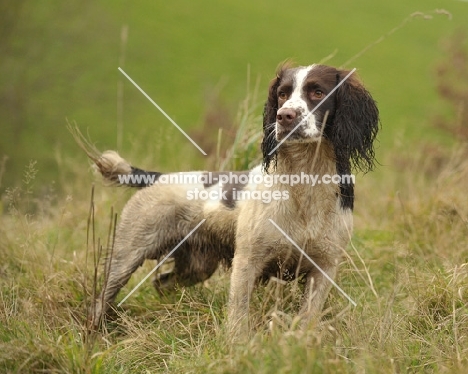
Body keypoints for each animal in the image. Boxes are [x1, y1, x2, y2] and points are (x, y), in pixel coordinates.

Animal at [78, 63, 378, 334]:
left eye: (318, 92)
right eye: (282, 94)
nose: (284, 116)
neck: (305, 184)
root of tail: (156, 177)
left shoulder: (324, 267)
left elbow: (307, 319)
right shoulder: (247, 261)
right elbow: (238, 317)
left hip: (197, 265)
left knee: (162, 283)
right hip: (128, 254)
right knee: (101, 299)